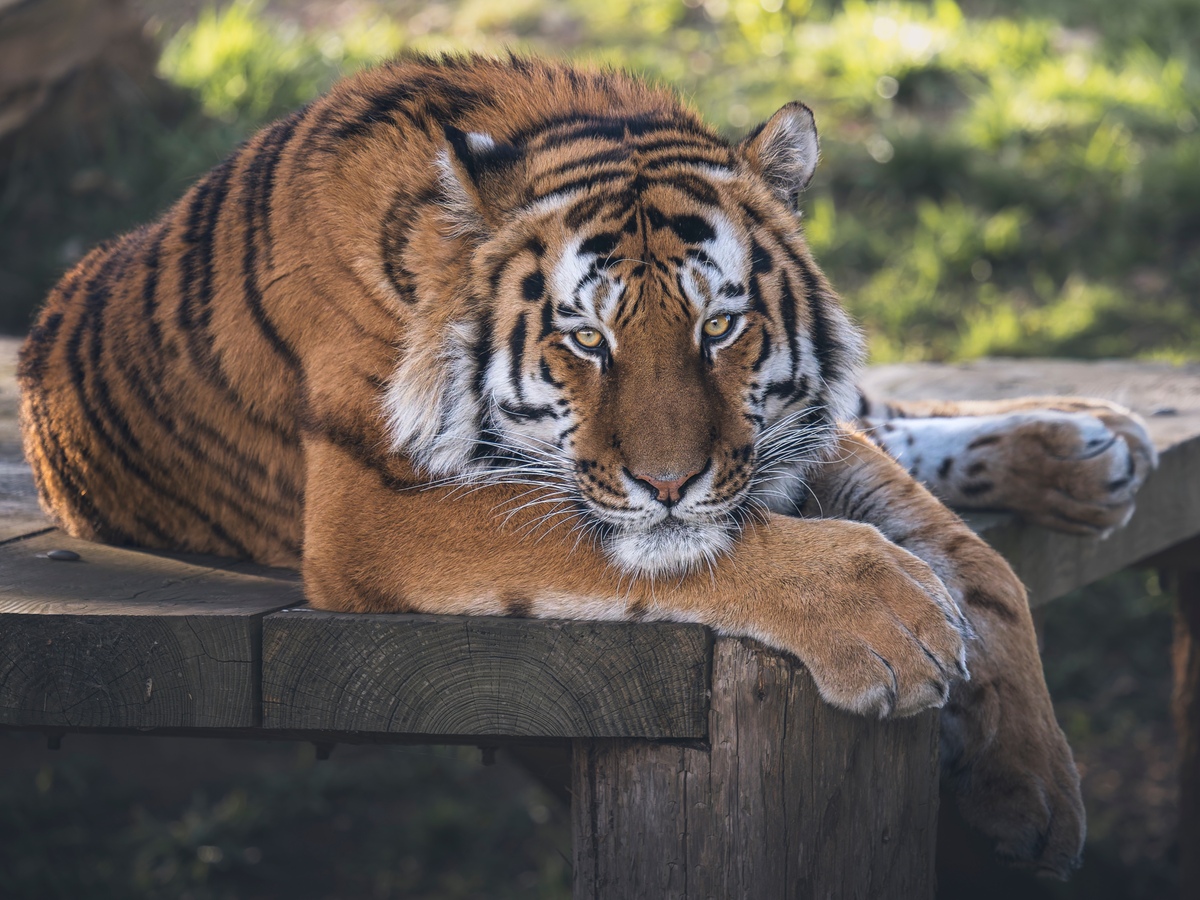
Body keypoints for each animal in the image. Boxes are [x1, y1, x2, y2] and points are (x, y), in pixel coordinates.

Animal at [18, 55, 1157, 877]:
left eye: (718, 327)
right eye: (587, 341)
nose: (671, 482)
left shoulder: (779, 438)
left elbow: (974, 561)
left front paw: (1036, 788)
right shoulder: (374, 508)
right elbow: (689, 546)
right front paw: (891, 622)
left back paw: (1088, 440)